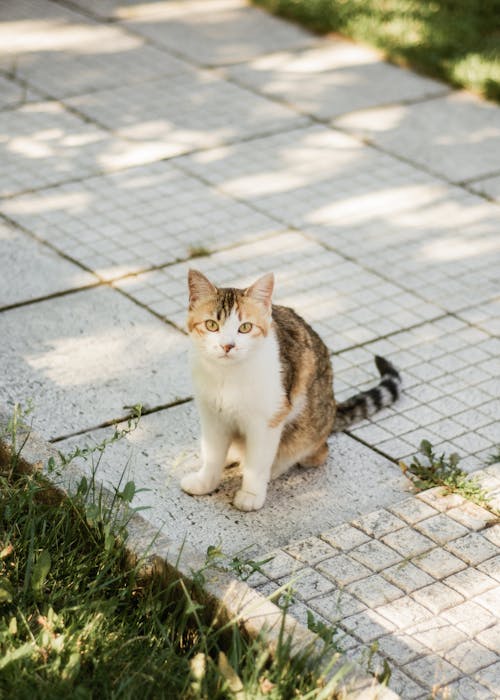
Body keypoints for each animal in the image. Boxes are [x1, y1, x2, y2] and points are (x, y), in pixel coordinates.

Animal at [182, 270, 400, 512]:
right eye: (212, 325)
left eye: (245, 327)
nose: (227, 346)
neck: (227, 376)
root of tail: (333, 410)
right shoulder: (212, 414)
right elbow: (213, 454)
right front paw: (205, 482)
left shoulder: (268, 420)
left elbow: (258, 462)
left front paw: (251, 493)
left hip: (307, 429)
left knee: (312, 452)